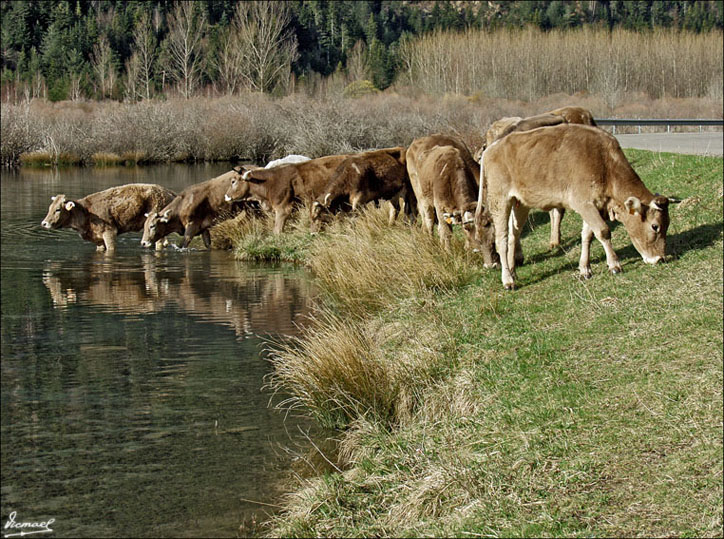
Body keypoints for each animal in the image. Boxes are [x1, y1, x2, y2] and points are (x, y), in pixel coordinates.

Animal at [41, 182, 176, 252]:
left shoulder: (109, 232)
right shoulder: (97, 238)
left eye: (58, 209)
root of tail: (168, 192)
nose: (44, 223)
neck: (85, 213)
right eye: (50, 208)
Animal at [408, 133, 498, 264]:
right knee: (429, 222)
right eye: (466, 228)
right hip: (422, 198)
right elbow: (446, 232)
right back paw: (431, 243)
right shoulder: (440, 208)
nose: (477, 249)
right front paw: (448, 253)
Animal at [478, 123, 676, 292]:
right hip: (499, 200)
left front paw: (585, 269)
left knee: (513, 234)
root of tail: (492, 147)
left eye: (667, 224)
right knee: (501, 240)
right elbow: (603, 231)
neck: (605, 163)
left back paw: (513, 271)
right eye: (655, 226)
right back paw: (507, 280)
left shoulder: (593, 204)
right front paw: (614, 265)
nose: (660, 258)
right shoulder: (583, 202)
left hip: (520, 203)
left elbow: (588, 235)